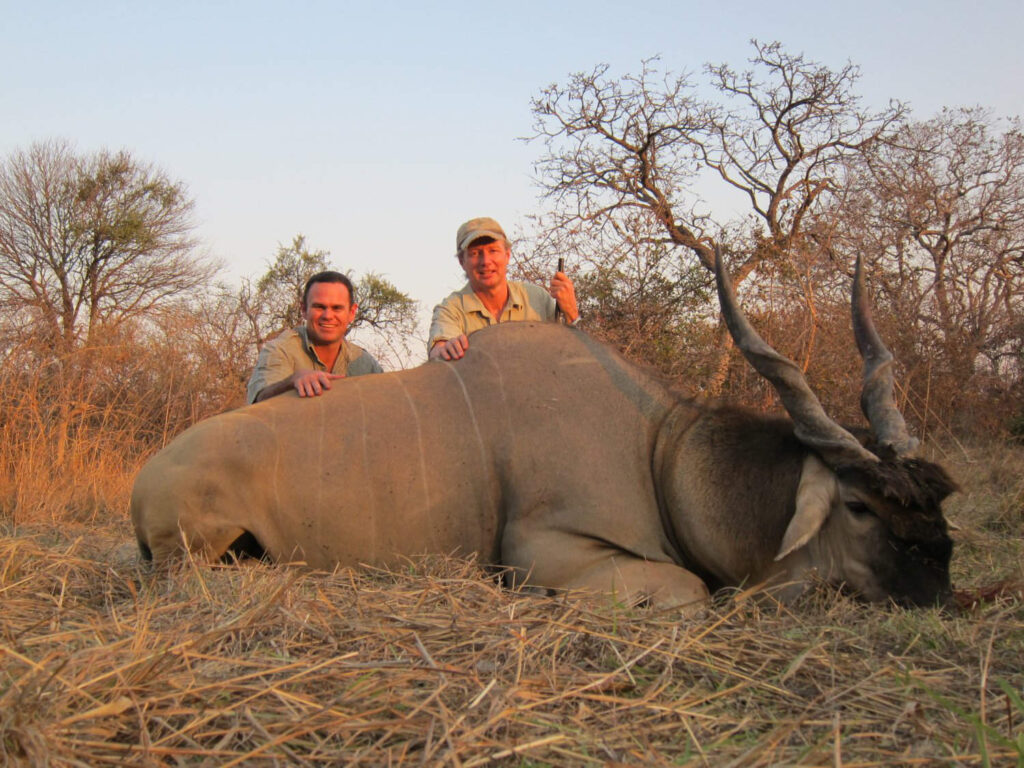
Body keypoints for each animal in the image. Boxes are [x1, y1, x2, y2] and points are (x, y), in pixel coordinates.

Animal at [131, 255, 956, 612]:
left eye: (935, 507)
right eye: (859, 506)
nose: (944, 588)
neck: (659, 450)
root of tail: (146, 477)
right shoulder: (540, 551)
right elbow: (691, 591)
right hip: (196, 551)